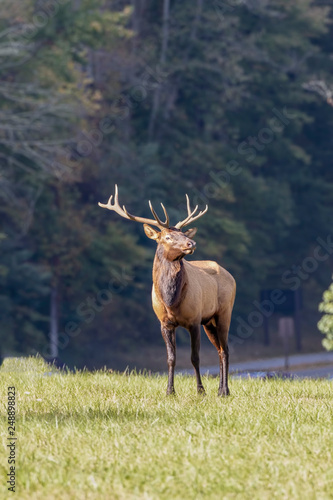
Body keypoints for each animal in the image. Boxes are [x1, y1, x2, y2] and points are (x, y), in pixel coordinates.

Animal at [97, 186, 235, 396]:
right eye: (168, 237)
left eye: (184, 233)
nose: (191, 243)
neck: (171, 300)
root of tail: (230, 275)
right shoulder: (164, 322)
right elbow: (171, 358)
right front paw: (170, 391)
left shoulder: (194, 320)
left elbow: (195, 357)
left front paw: (200, 390)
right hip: (209, 322)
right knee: (220, 350)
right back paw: (220, 389)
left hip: (224, 312)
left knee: (225, 349)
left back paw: (225, 391)